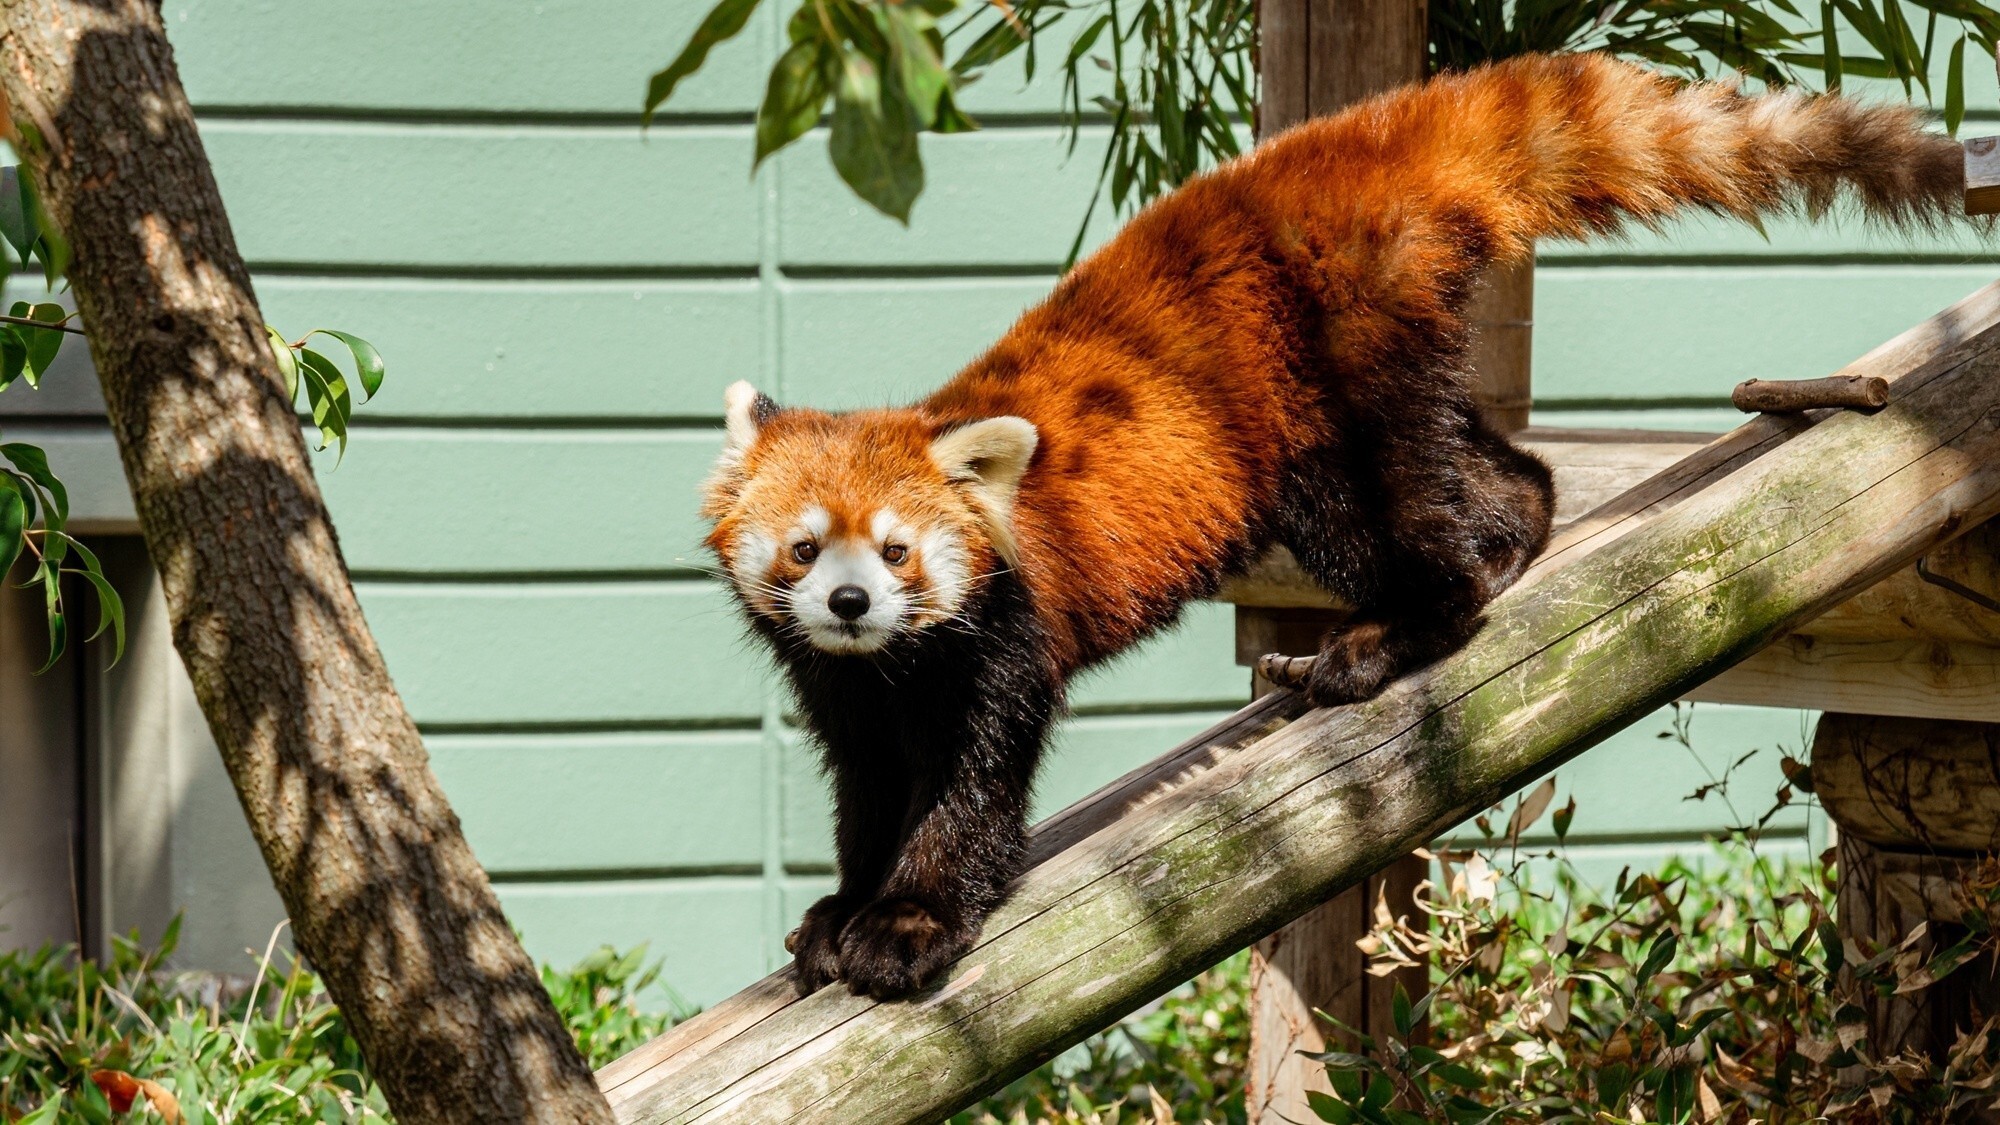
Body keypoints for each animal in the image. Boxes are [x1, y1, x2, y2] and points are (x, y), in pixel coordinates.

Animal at [704, 54, 1968, 996]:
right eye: (806, 548)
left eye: (899, 549)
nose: (852, 604)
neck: (893, 664)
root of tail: (1340, 151)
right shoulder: (847, 693)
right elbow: (868, 790)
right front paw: (841, 908)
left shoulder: (1000, 638)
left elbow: (969, 789)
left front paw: (906, 926)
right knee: (1498, 472)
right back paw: (1509, 534)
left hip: (1332, 380)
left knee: (1398, 521)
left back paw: (1385, 637)